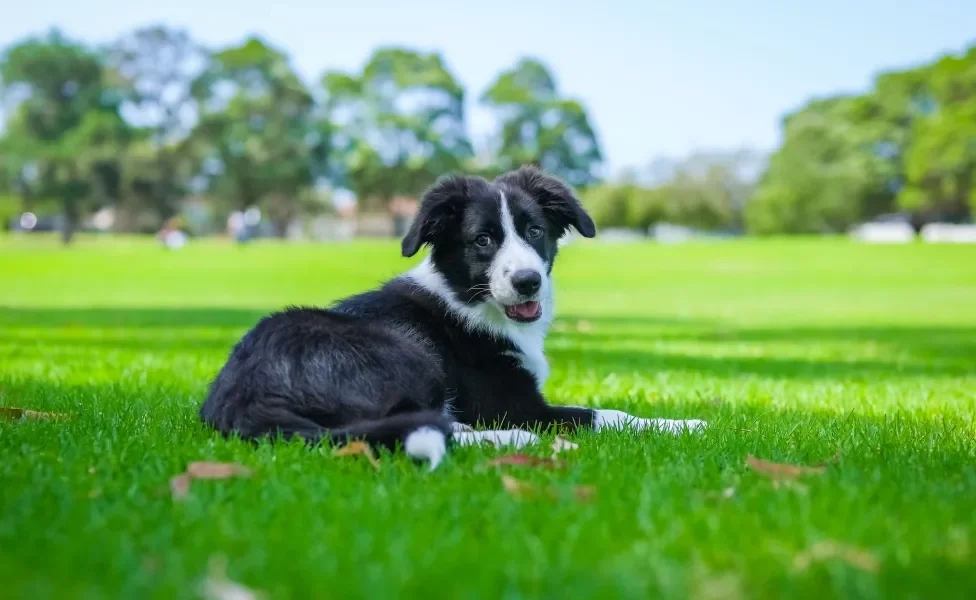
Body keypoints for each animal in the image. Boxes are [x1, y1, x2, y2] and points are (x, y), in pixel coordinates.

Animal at [200, 165, 700, 468]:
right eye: (483, 240)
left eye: (535, 230)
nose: (528, 281)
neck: (469, 300)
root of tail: (247, 400)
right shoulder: (515, 406)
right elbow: (607, 413)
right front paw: (682, 424)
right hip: (408, 358)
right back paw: (514, 440)